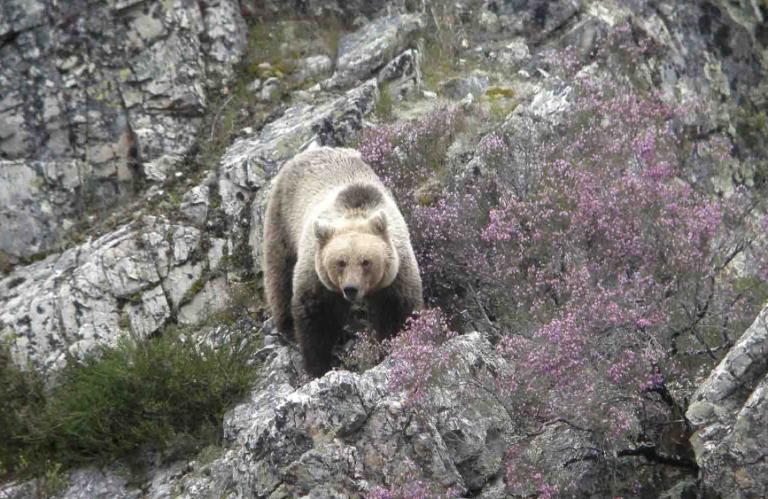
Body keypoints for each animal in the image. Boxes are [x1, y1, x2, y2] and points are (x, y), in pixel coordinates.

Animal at [262, 147, 423, 377]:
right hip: (282, 220)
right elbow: (316, 317)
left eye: (366, 262)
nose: (351, 288)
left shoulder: (396, 274)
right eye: (340, 262)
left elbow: (398, 312)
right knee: (279, 273)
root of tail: (307, 152)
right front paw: (318, 366)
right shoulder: (317, 275)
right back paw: (287, 326)